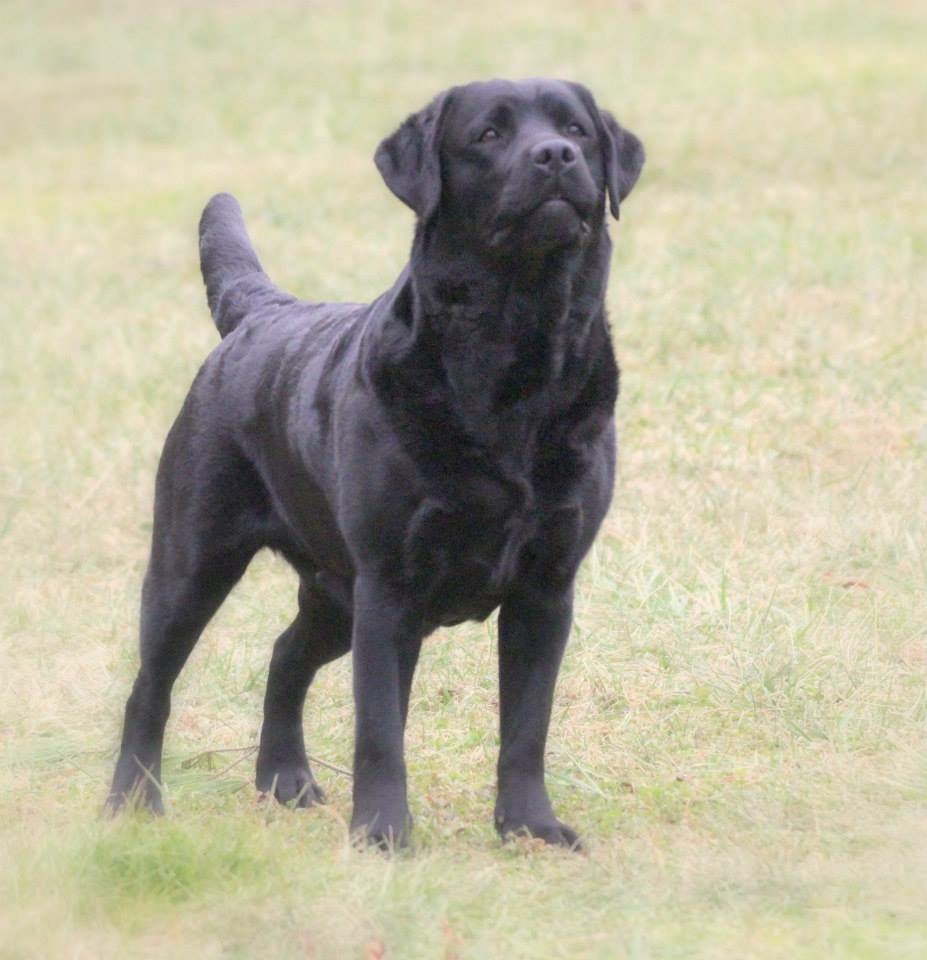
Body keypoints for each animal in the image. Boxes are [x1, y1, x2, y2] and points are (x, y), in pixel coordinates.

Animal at [109, 80, 644, 848]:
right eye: (488, 135)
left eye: (577, 130)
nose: (554, 155)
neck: (516, 346)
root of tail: (260, 313)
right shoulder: (390, 589)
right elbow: (381, 729)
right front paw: (384, 834)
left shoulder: (546, 587)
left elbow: (526, 726)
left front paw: (530, 828)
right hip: (194, 561)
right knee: (150, 686)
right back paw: (133, 801)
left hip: (335, 593)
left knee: (285, 657)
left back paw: (287, 780)